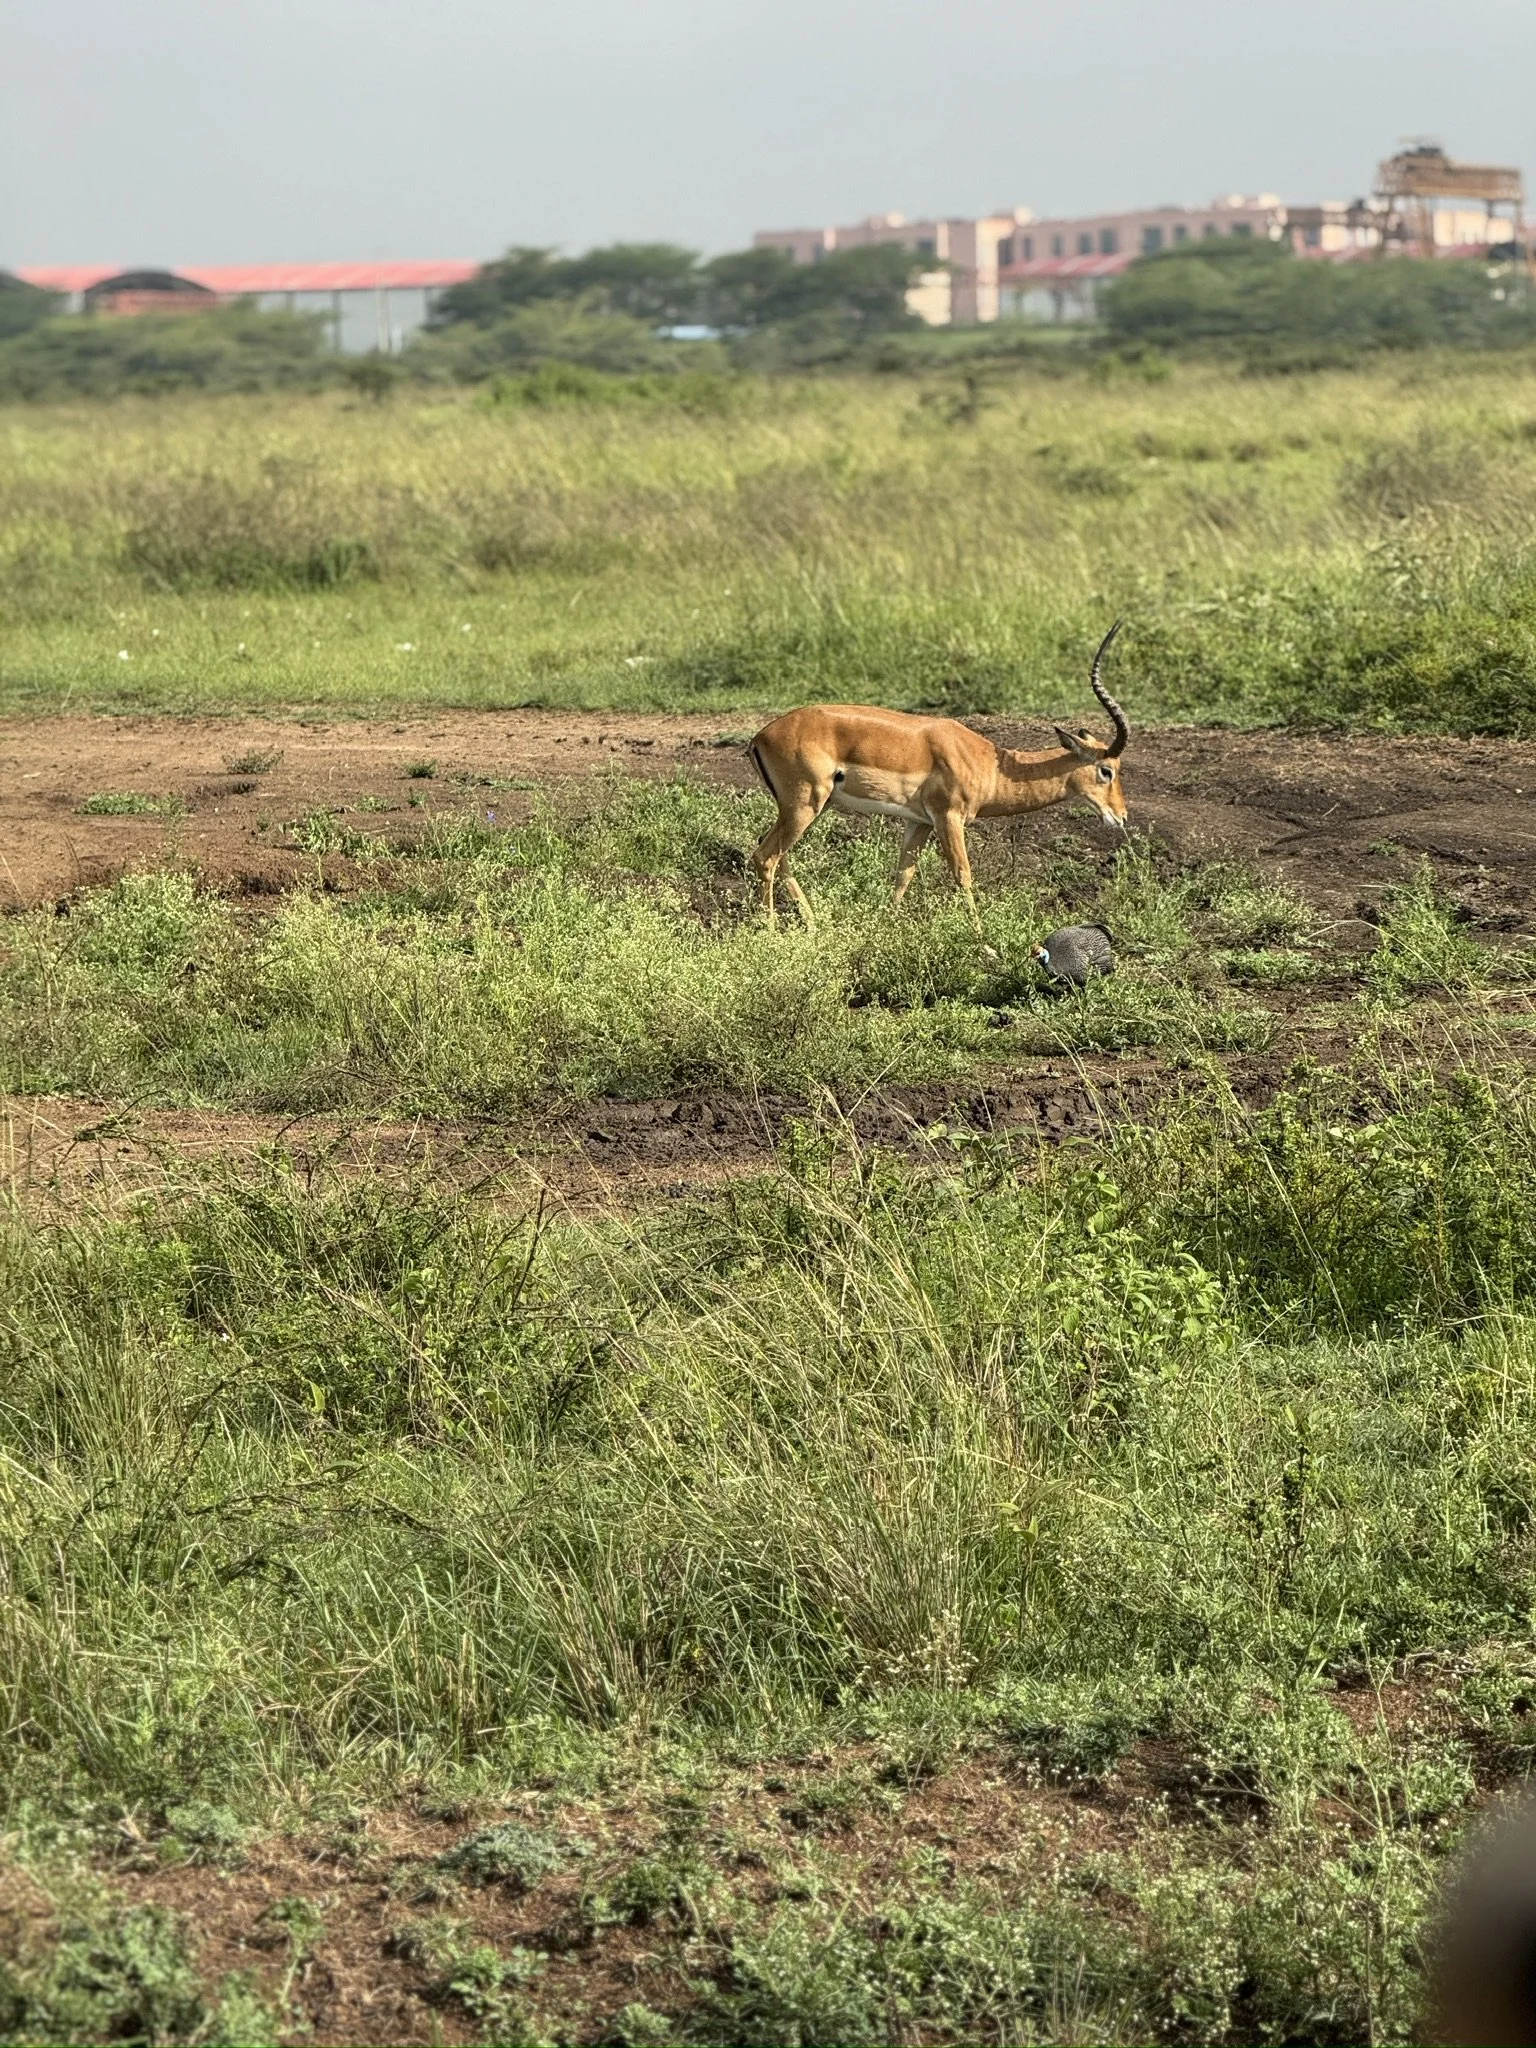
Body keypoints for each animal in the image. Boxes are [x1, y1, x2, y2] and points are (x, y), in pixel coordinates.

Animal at [747, 621, 1130, 929]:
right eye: (1107, 770)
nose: (1121, 816)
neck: (988, 763)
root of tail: (760, 736)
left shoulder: (920, 822)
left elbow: (903, 874)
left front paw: (886, 928)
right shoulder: (949, 817)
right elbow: (963, 875)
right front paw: (984, 943)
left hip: (809, 807)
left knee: (779, 857)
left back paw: (812, 926)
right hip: (805, 804)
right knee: (765, 856)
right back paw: (772, 933)